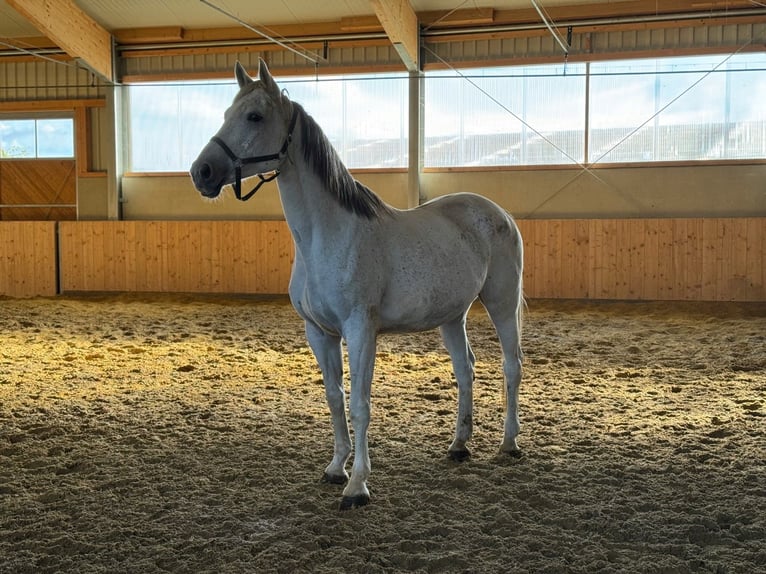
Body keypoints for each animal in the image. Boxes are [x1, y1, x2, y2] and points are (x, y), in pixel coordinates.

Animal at [192, 59, 528, 512]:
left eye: (254, 116)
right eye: (227, 114)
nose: (202, 172)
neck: (327, 236)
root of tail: (498, 213)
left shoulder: (360, 330)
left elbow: (359, 405)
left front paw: (358, 486)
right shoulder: (319, 333)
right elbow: (334, 399)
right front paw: (336, 468)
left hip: (501, 302)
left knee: (511, 366)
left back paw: (509, 444)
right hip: (451, 316)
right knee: (465, 369)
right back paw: (459, 445)